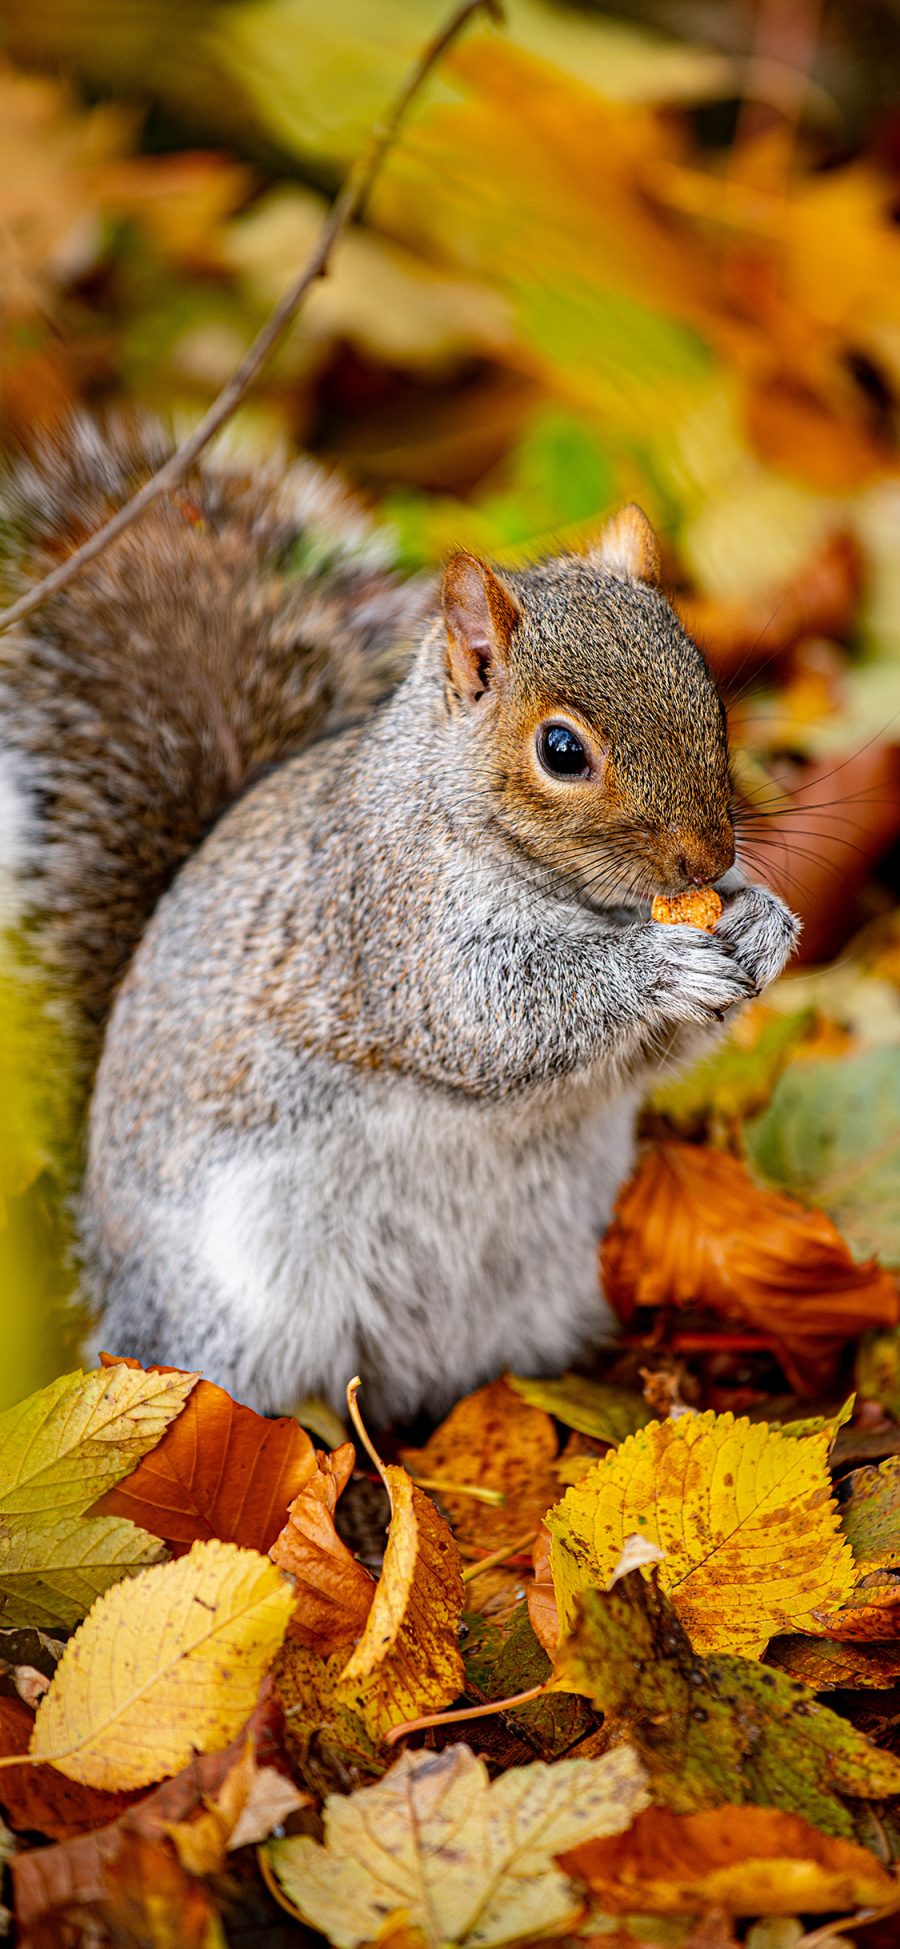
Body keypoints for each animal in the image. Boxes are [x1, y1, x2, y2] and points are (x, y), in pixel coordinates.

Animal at [3, 415, 798, 1418]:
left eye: (711, 696)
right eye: (561, 750)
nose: (707, 859)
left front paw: (763, 921)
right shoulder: (391, 922)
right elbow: (492, 1013)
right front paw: (659, 965)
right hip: (241, 1307)